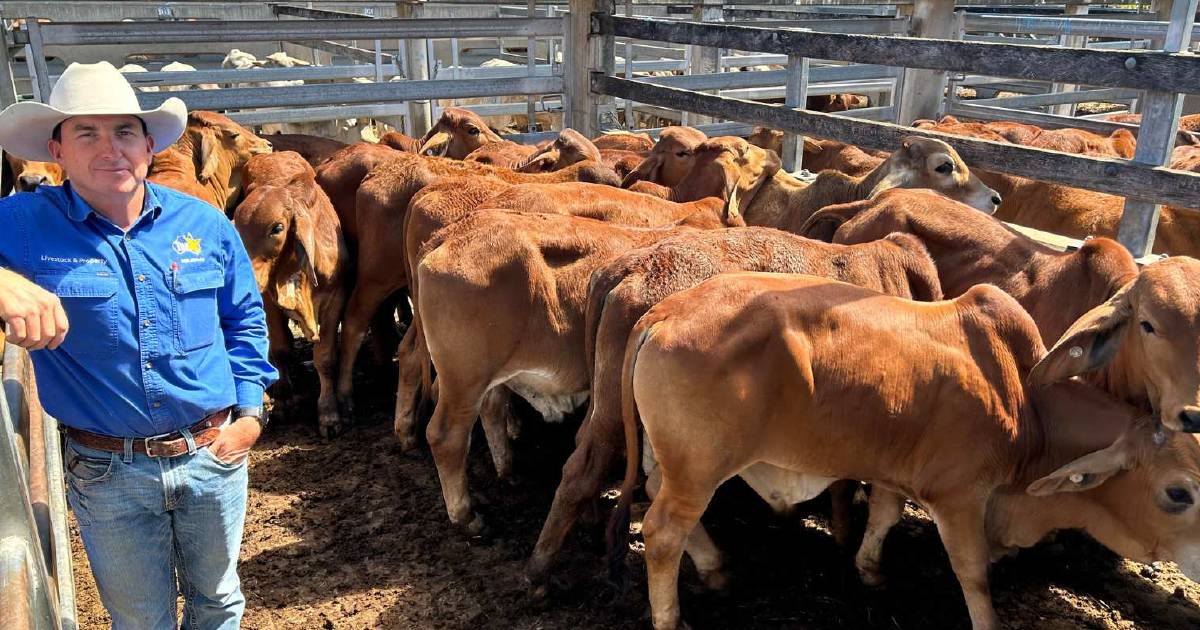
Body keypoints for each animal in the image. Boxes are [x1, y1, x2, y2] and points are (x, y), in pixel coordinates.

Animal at [230, 152, 350, 434]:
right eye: (237, 228)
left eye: (277, 227)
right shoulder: (267, 303)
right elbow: (281, 350)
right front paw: (284, 402)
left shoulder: (336, 299)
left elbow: (325, 358)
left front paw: (329, 415)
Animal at [525, 228, 945, 588]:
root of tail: (627, 267)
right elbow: (844, 483)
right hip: (618, 411)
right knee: (584, 470)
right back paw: (539, 569)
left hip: (606, 399)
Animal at [614, 273, 1200, 628]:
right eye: (1180, 493)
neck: (1024, 400)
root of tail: (663, 313)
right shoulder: (960, 497)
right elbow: (973, 571)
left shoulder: (897, 472)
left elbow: (884, 516)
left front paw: (871, 570)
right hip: (698, 469)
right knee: (662, 532)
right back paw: (671, 617)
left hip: (673, 461)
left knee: (655, 495)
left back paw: (715, 567)